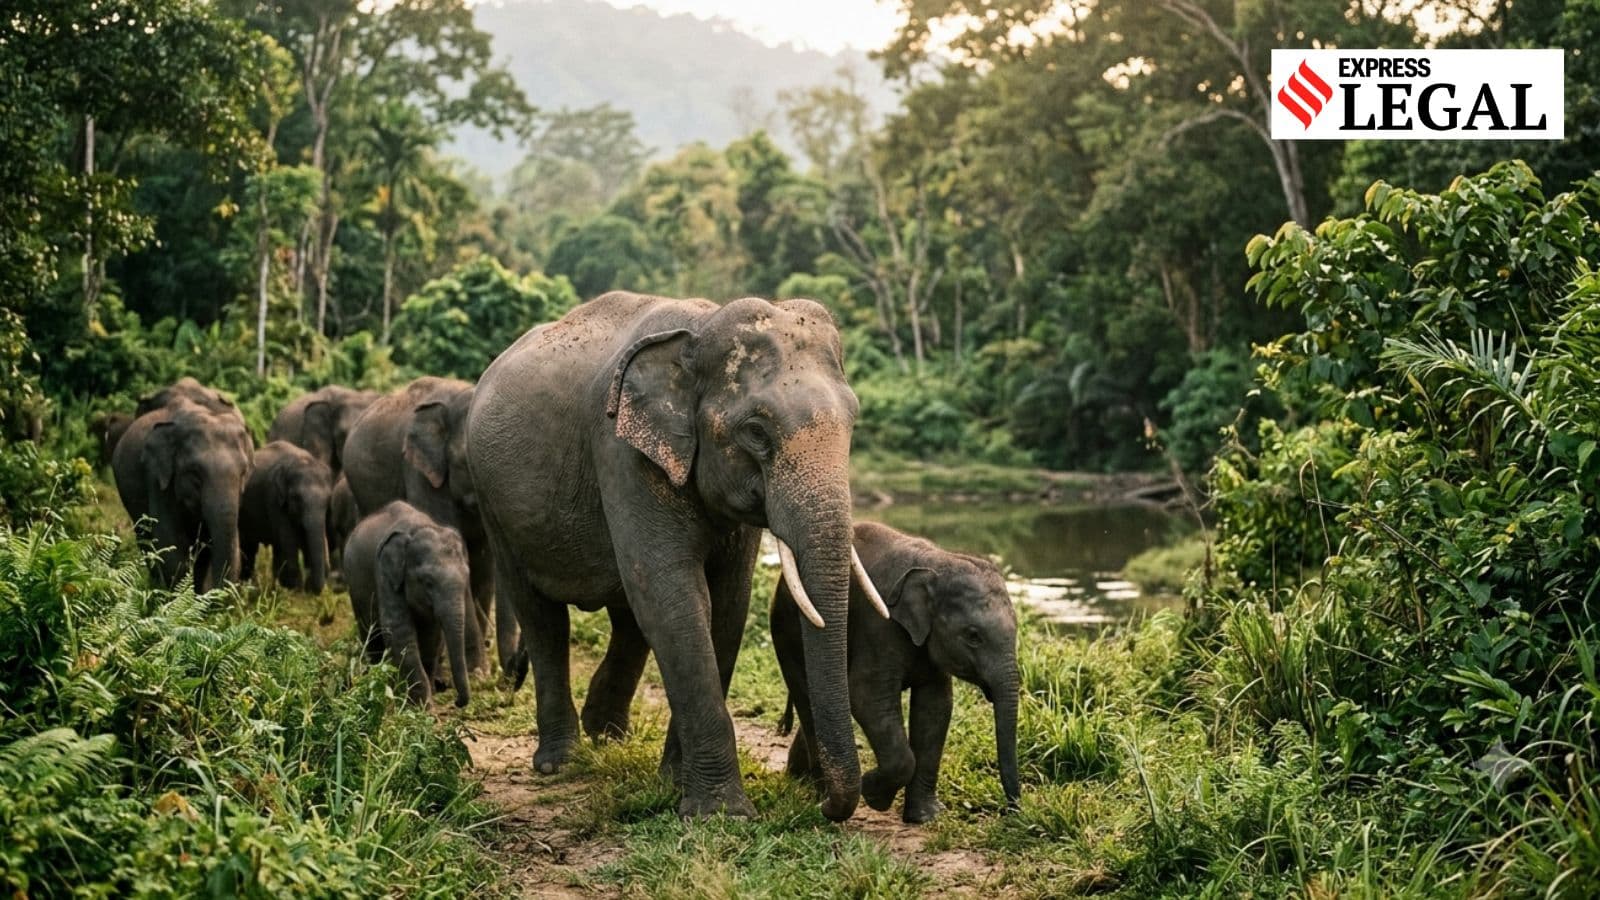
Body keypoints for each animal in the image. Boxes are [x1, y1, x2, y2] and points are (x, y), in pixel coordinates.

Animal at [240, 441, 332, 594]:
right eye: (296, 498)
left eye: (328, 500)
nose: (310, 586)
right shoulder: (273, 498)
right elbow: (288, 539)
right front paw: (295, 590)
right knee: (249, 547)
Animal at [344, 500, 473, 708]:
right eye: (428, 582)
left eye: (466, 578)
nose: (456, 702)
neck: (418, 528)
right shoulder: (385, 574)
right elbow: (399, 631)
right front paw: (424, 708)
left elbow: (431, 637)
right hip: (355, 590)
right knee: (371, 638)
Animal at [467, 290, 884, 821]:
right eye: (756, 431)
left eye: (852, 420)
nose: (825, 803)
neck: (701, 327)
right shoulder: (621, 452)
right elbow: (674, 596)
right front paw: (720, 814)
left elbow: (725, 606)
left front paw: (674, 785)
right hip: (493, 502)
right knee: (543, 617)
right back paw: (560, 762)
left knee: (627, 617)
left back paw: (609, 737)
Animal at [773, 521, 1021, 824]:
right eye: (973, 636)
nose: (1011, 811)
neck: (936, 562)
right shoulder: (880, 626)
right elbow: (867, 698)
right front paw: (872, 794)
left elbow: (935, 708)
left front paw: (925, 817)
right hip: (786, 630)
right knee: (807, 699)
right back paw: (818, 793)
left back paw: (799, 778)